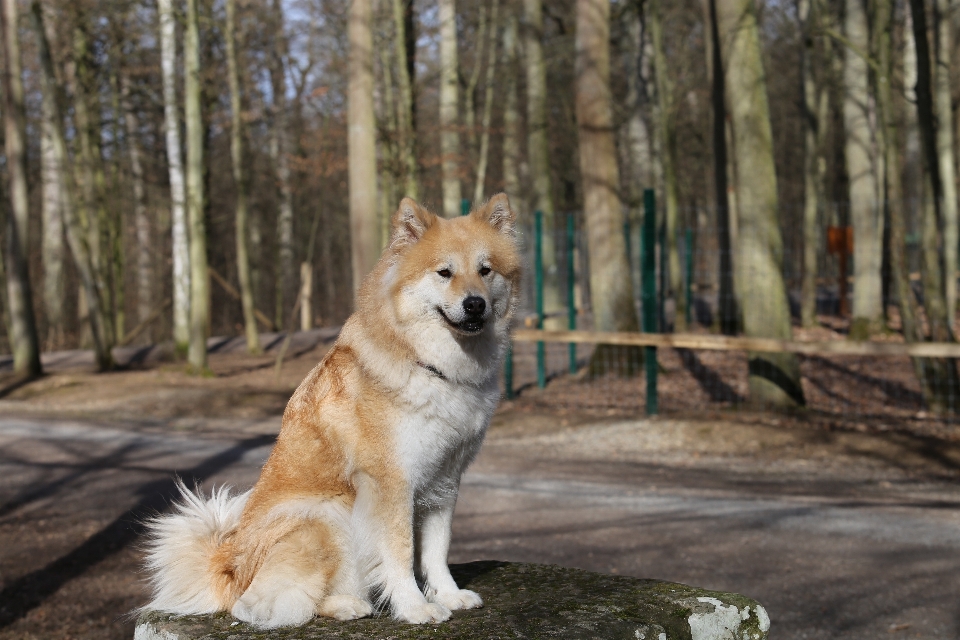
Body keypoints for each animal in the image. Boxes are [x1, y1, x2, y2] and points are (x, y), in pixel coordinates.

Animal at [140, 192, 520, 628]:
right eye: (445, 273)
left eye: (485, 270)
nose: (475, 304)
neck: (431, 365)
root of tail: (228, 569)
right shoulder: (391, 483)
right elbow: (400, 553)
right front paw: (415, 606)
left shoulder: (445, 479)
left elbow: (436, 549)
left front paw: (449, 594)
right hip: (326, 515)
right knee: (258, 605)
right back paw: (346, 604)